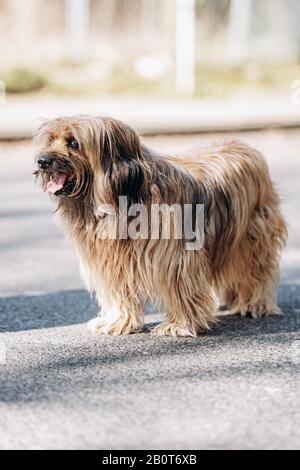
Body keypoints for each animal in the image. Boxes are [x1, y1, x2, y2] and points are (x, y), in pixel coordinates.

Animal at [33, 117, 288, 338]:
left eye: (73, 142)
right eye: (50, 140)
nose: (41, 161)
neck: (123, 198)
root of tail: (242, 144)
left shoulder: (175, 258)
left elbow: (180, 287)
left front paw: (179, 325)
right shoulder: (110, 260)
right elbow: (118, 291)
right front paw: (118, 321)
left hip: (253, 235)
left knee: (257, 271)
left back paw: (255, 303)